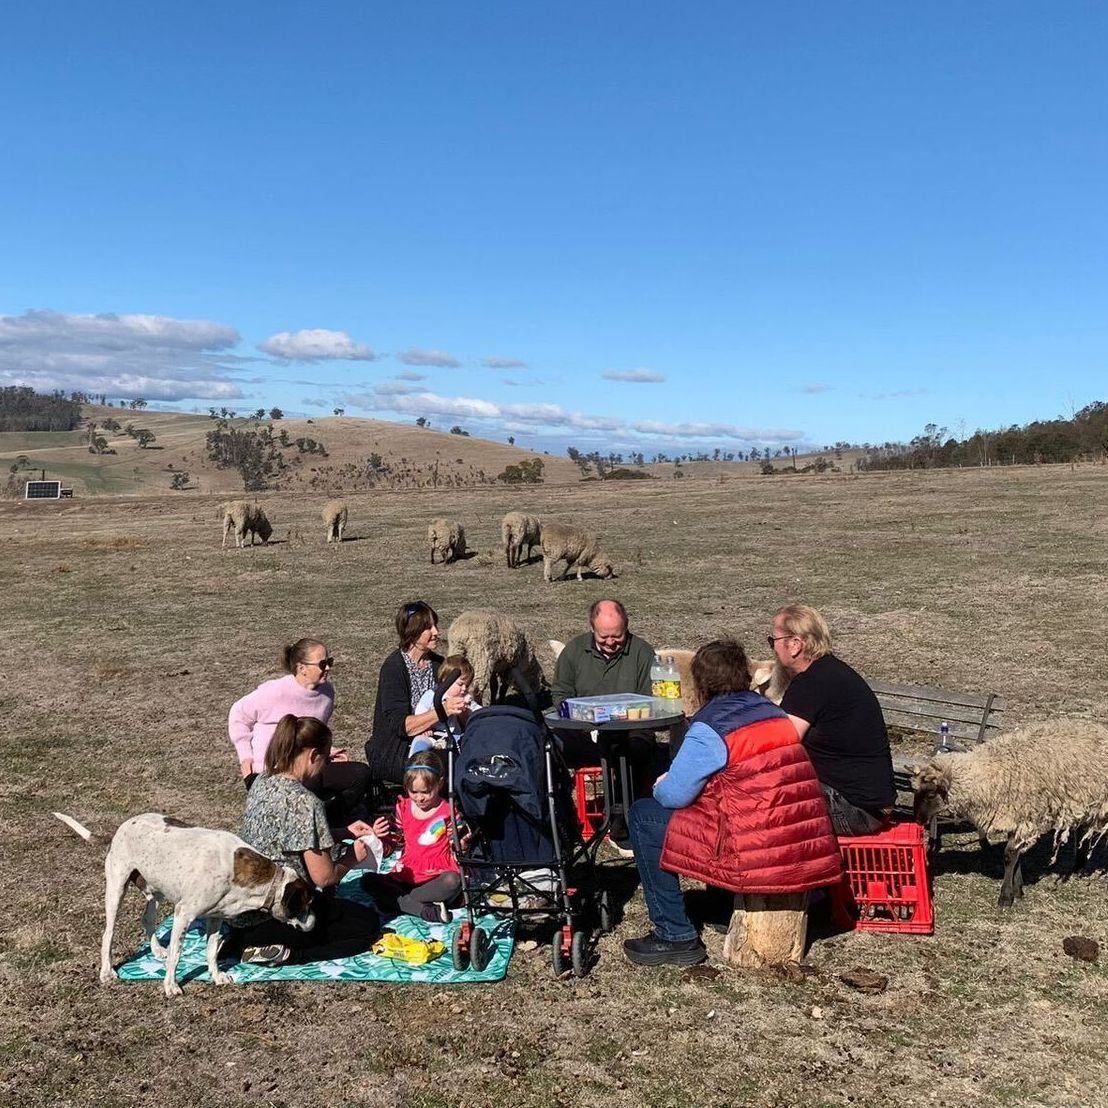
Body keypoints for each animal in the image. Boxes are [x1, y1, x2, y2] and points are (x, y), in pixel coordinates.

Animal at [912, 720, 1108, 907]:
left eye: (931, 794)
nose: (918, 820)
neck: (994, 773)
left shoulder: (1023, 817)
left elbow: (1009, 855)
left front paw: (1005, 897)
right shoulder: (1013, 817)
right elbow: (1016, 856)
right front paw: (1018, 890)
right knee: (1083, 831)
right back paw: (1078, 867)